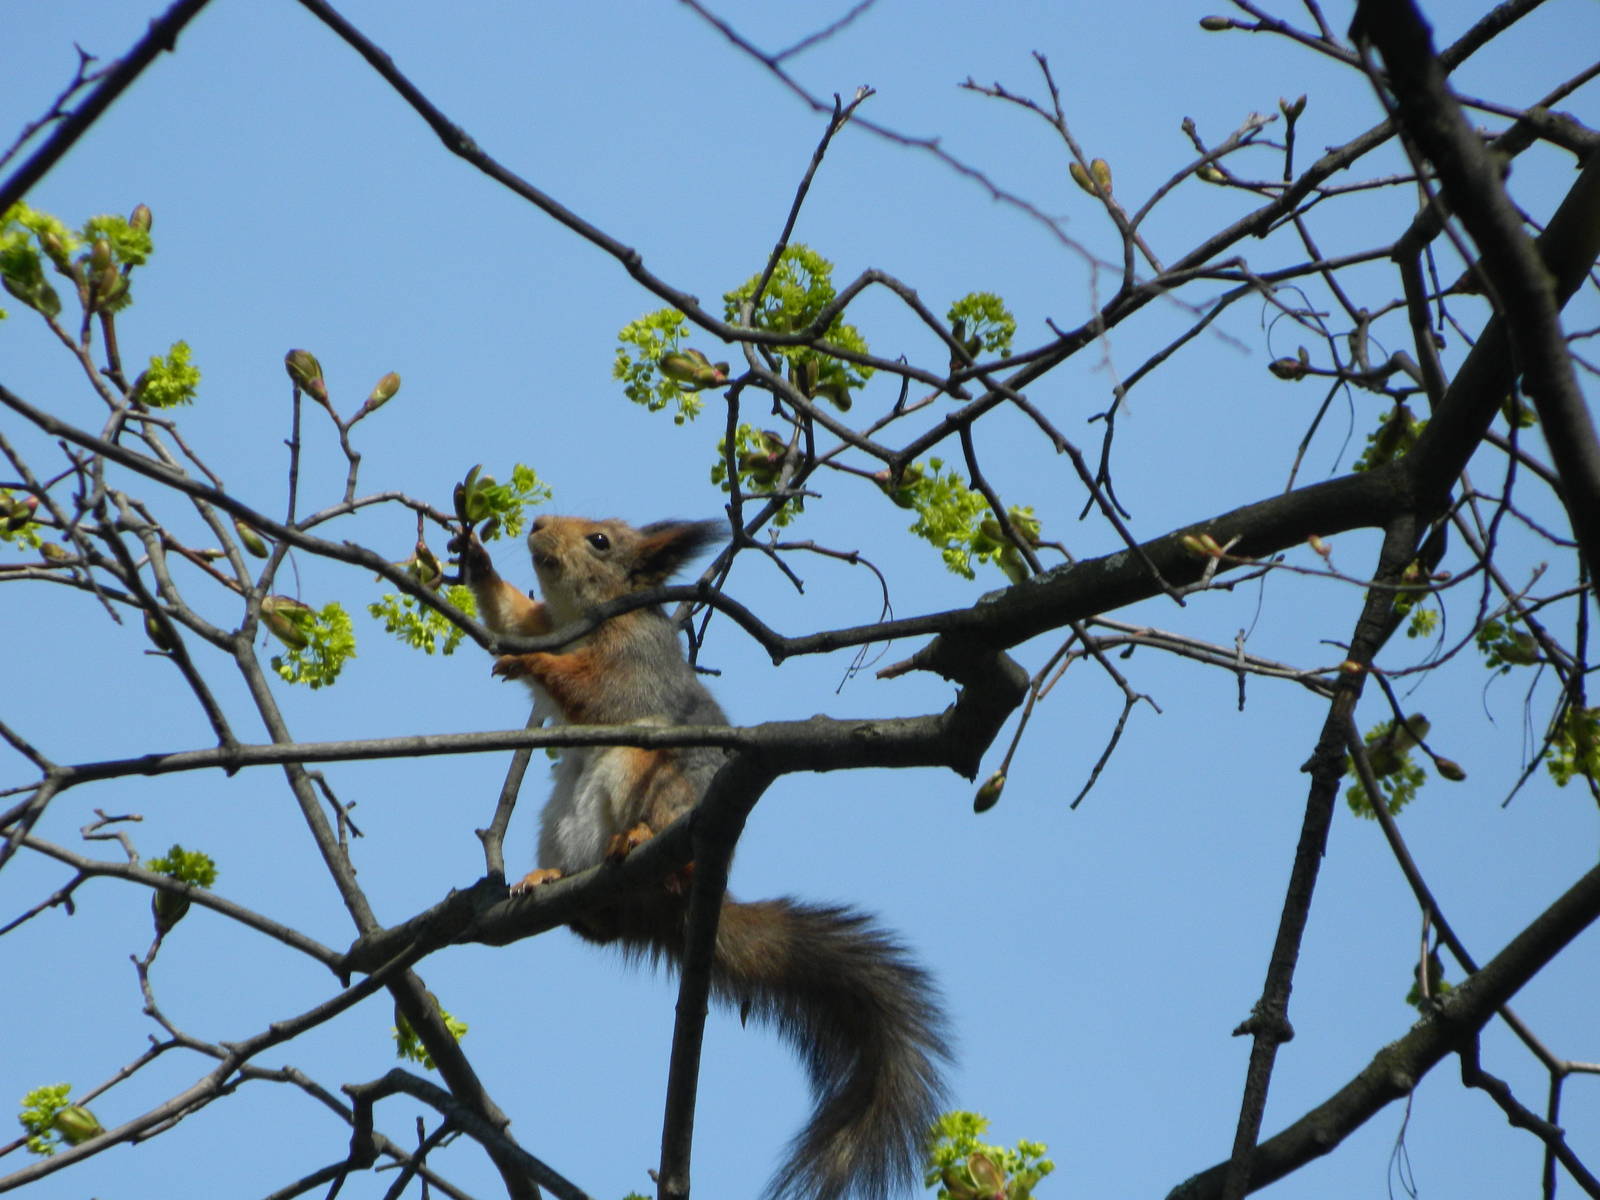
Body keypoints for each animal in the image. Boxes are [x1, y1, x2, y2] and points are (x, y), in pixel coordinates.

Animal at [453, 513, 949, 1200]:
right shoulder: (548, 619)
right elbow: (513, 616)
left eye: (601, 541)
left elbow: (589, 684)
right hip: (562, 816)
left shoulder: (633, 662)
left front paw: (531, 661)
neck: (591, 616)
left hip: (647, 773)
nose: (538, 523)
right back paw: (549, 877)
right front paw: (473, 558)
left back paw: (639, 845)